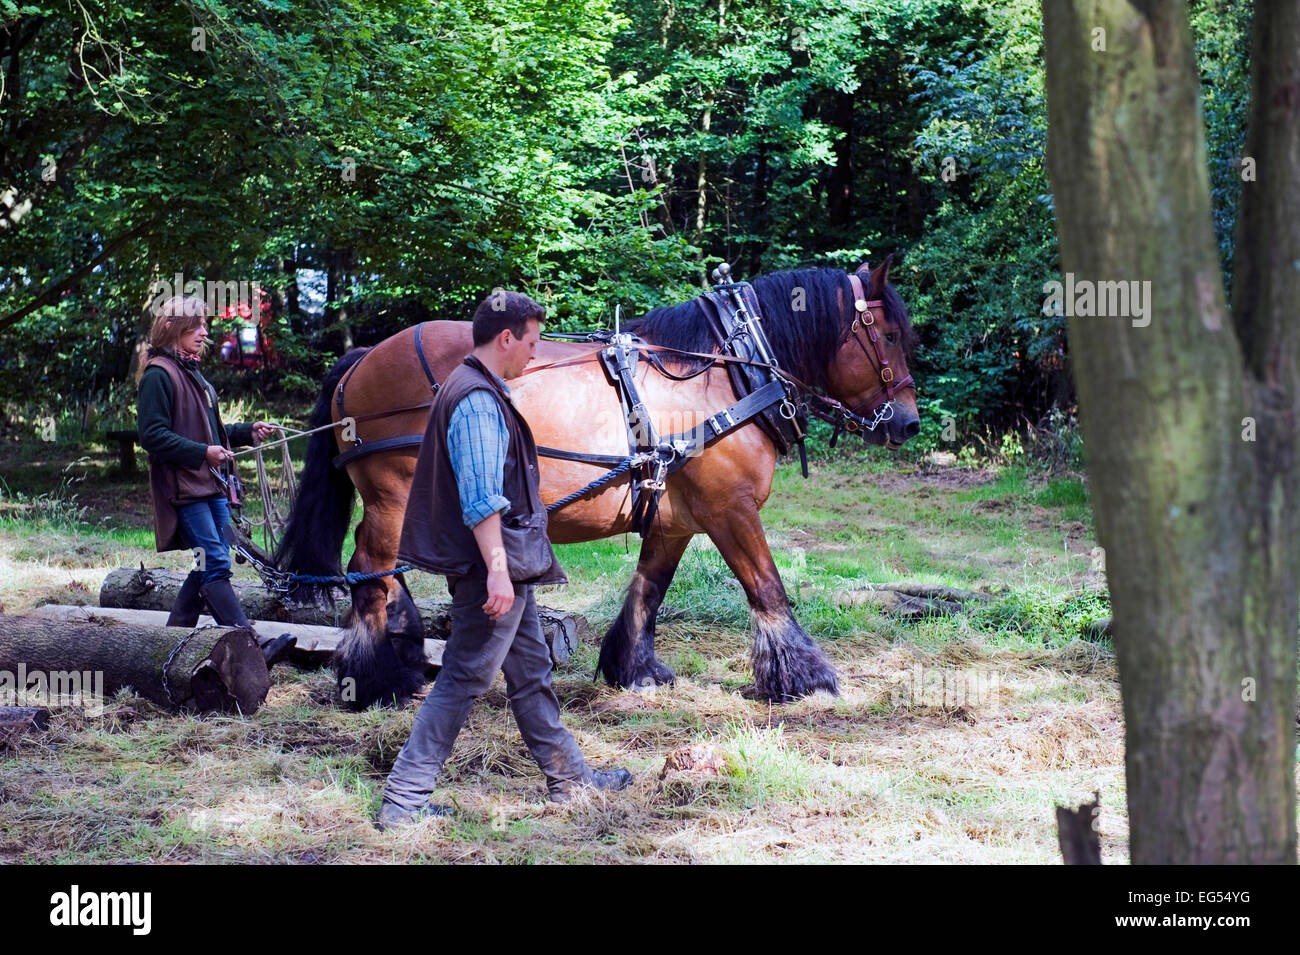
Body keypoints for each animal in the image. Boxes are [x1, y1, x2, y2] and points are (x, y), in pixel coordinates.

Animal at [274, 259, 920, 709]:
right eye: (888, 335)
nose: (910, 423)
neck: (728, 371)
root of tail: (359, 360)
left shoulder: (674, 518)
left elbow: (648, 591)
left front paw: (633, 669)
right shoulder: (730, 509)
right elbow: (768, 588)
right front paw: (808, 677)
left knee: (385, 574)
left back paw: (403, 660)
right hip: (395, 493)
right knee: (369, 569)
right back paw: (374, 678)